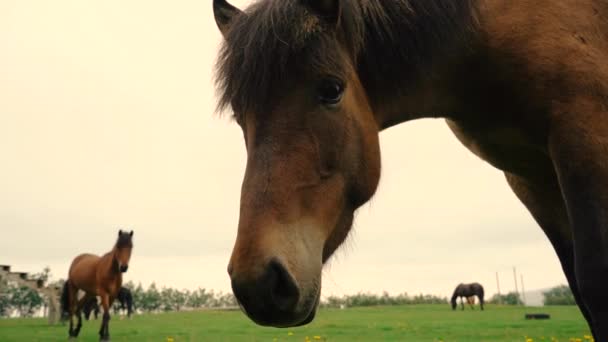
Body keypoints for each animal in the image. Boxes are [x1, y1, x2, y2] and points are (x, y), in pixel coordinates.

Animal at [211, 0, 608, 338]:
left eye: (332, 89)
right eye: (239, 114)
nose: (259, 283)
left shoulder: (584, 139)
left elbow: (594, 281)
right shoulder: (531, 177)